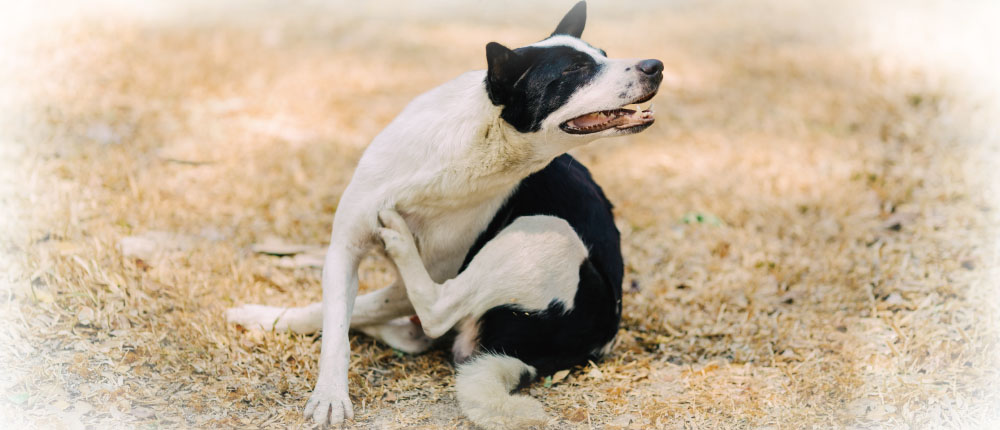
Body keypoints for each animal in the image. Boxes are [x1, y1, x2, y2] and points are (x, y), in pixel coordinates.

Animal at [228, 2, 664, 426]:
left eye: (602, 55)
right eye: (576, 70)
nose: (655, 65)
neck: (476, 146)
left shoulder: (429, 272)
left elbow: (361, 309)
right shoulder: (344, 248)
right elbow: (336, 326)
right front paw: (328, 391)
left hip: (546, 230)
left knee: (437, 311)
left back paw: (399, 244)